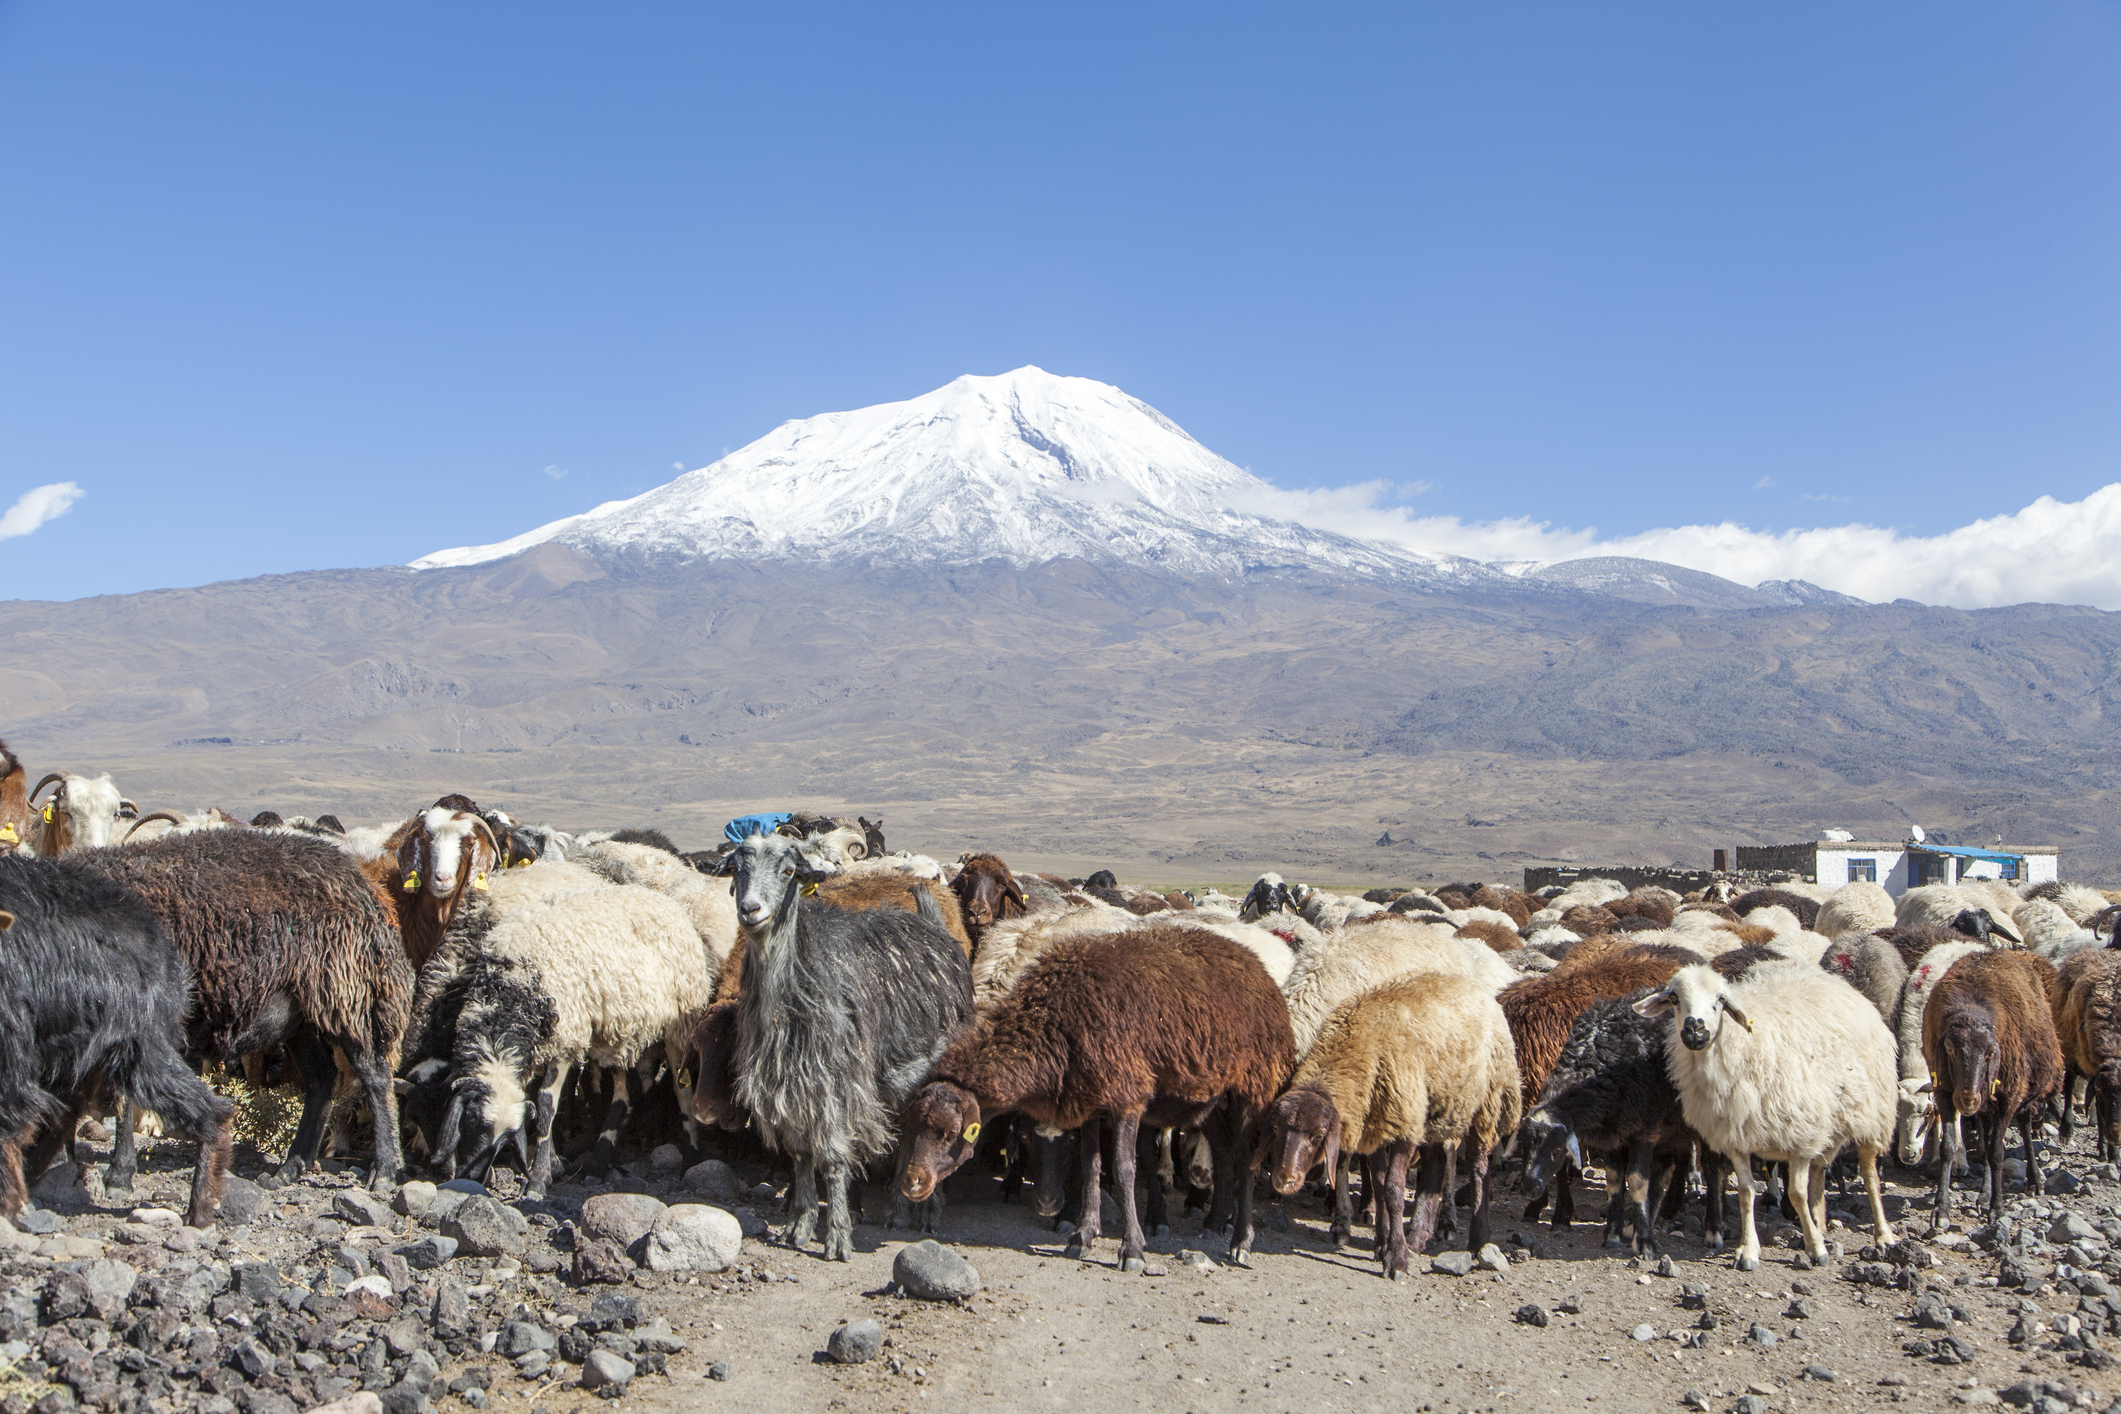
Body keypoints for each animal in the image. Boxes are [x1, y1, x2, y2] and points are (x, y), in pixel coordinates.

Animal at [712, 831, 975, 1263]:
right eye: (736, 868)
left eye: (788, 871)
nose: (751, 909)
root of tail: (935, 927)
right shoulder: (789, 1080)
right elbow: (800, 1154)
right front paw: (799, 1226)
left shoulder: (837, 1080)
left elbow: (833, 1159)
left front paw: (837, 1237)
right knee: (907, 1132)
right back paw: (899, 1213)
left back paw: (926, 1214)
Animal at [895, 928, 1289, 1271]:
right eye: (909, 1127)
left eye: (950, 1133)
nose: (912, 1183)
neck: (1053, 1022)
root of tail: (1254, 962)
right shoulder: (1089, 1103)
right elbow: (1089, 1166)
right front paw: (1083, 1235)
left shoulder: (1127, 1097)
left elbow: (1124, 1169)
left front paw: (1132, 1249)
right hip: (1200, 1094)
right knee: (1222, 1147)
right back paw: (1214, 1220)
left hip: (1251, 1083)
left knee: (1245, 1158)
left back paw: (1241, 1241)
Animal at [1628, 962, 1900, 1271]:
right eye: (1674, 998)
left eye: (1721, 999)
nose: (1695, 1030)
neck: (1739, 1046)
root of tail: (1841, 985)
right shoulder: (1736, 1138)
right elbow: (1746, 1193)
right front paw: (1749, 1250)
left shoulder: (1800, 1137)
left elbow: (1796, 1193)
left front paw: (1816, 1249)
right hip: (1827, 1123)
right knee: (1820, 1172)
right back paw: (1820, 1224)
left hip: (1873, 1113)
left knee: (1869, 1176)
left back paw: (1883, 1236)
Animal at [1934, 949, 2061, 1229]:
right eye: (1949, 1048)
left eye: (1991, 1053)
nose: (1967, 1100)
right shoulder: (1944, 1091)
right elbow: (1947, 1148)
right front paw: (1941, 1210)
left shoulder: (2008, 1097)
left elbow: (1997, 1152)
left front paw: (1998, 1209)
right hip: (1986, 1102)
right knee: (1987, 1130)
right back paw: (1983, 1194)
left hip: (2022, 1089)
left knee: (2023, 1125)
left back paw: (2033, 1180)